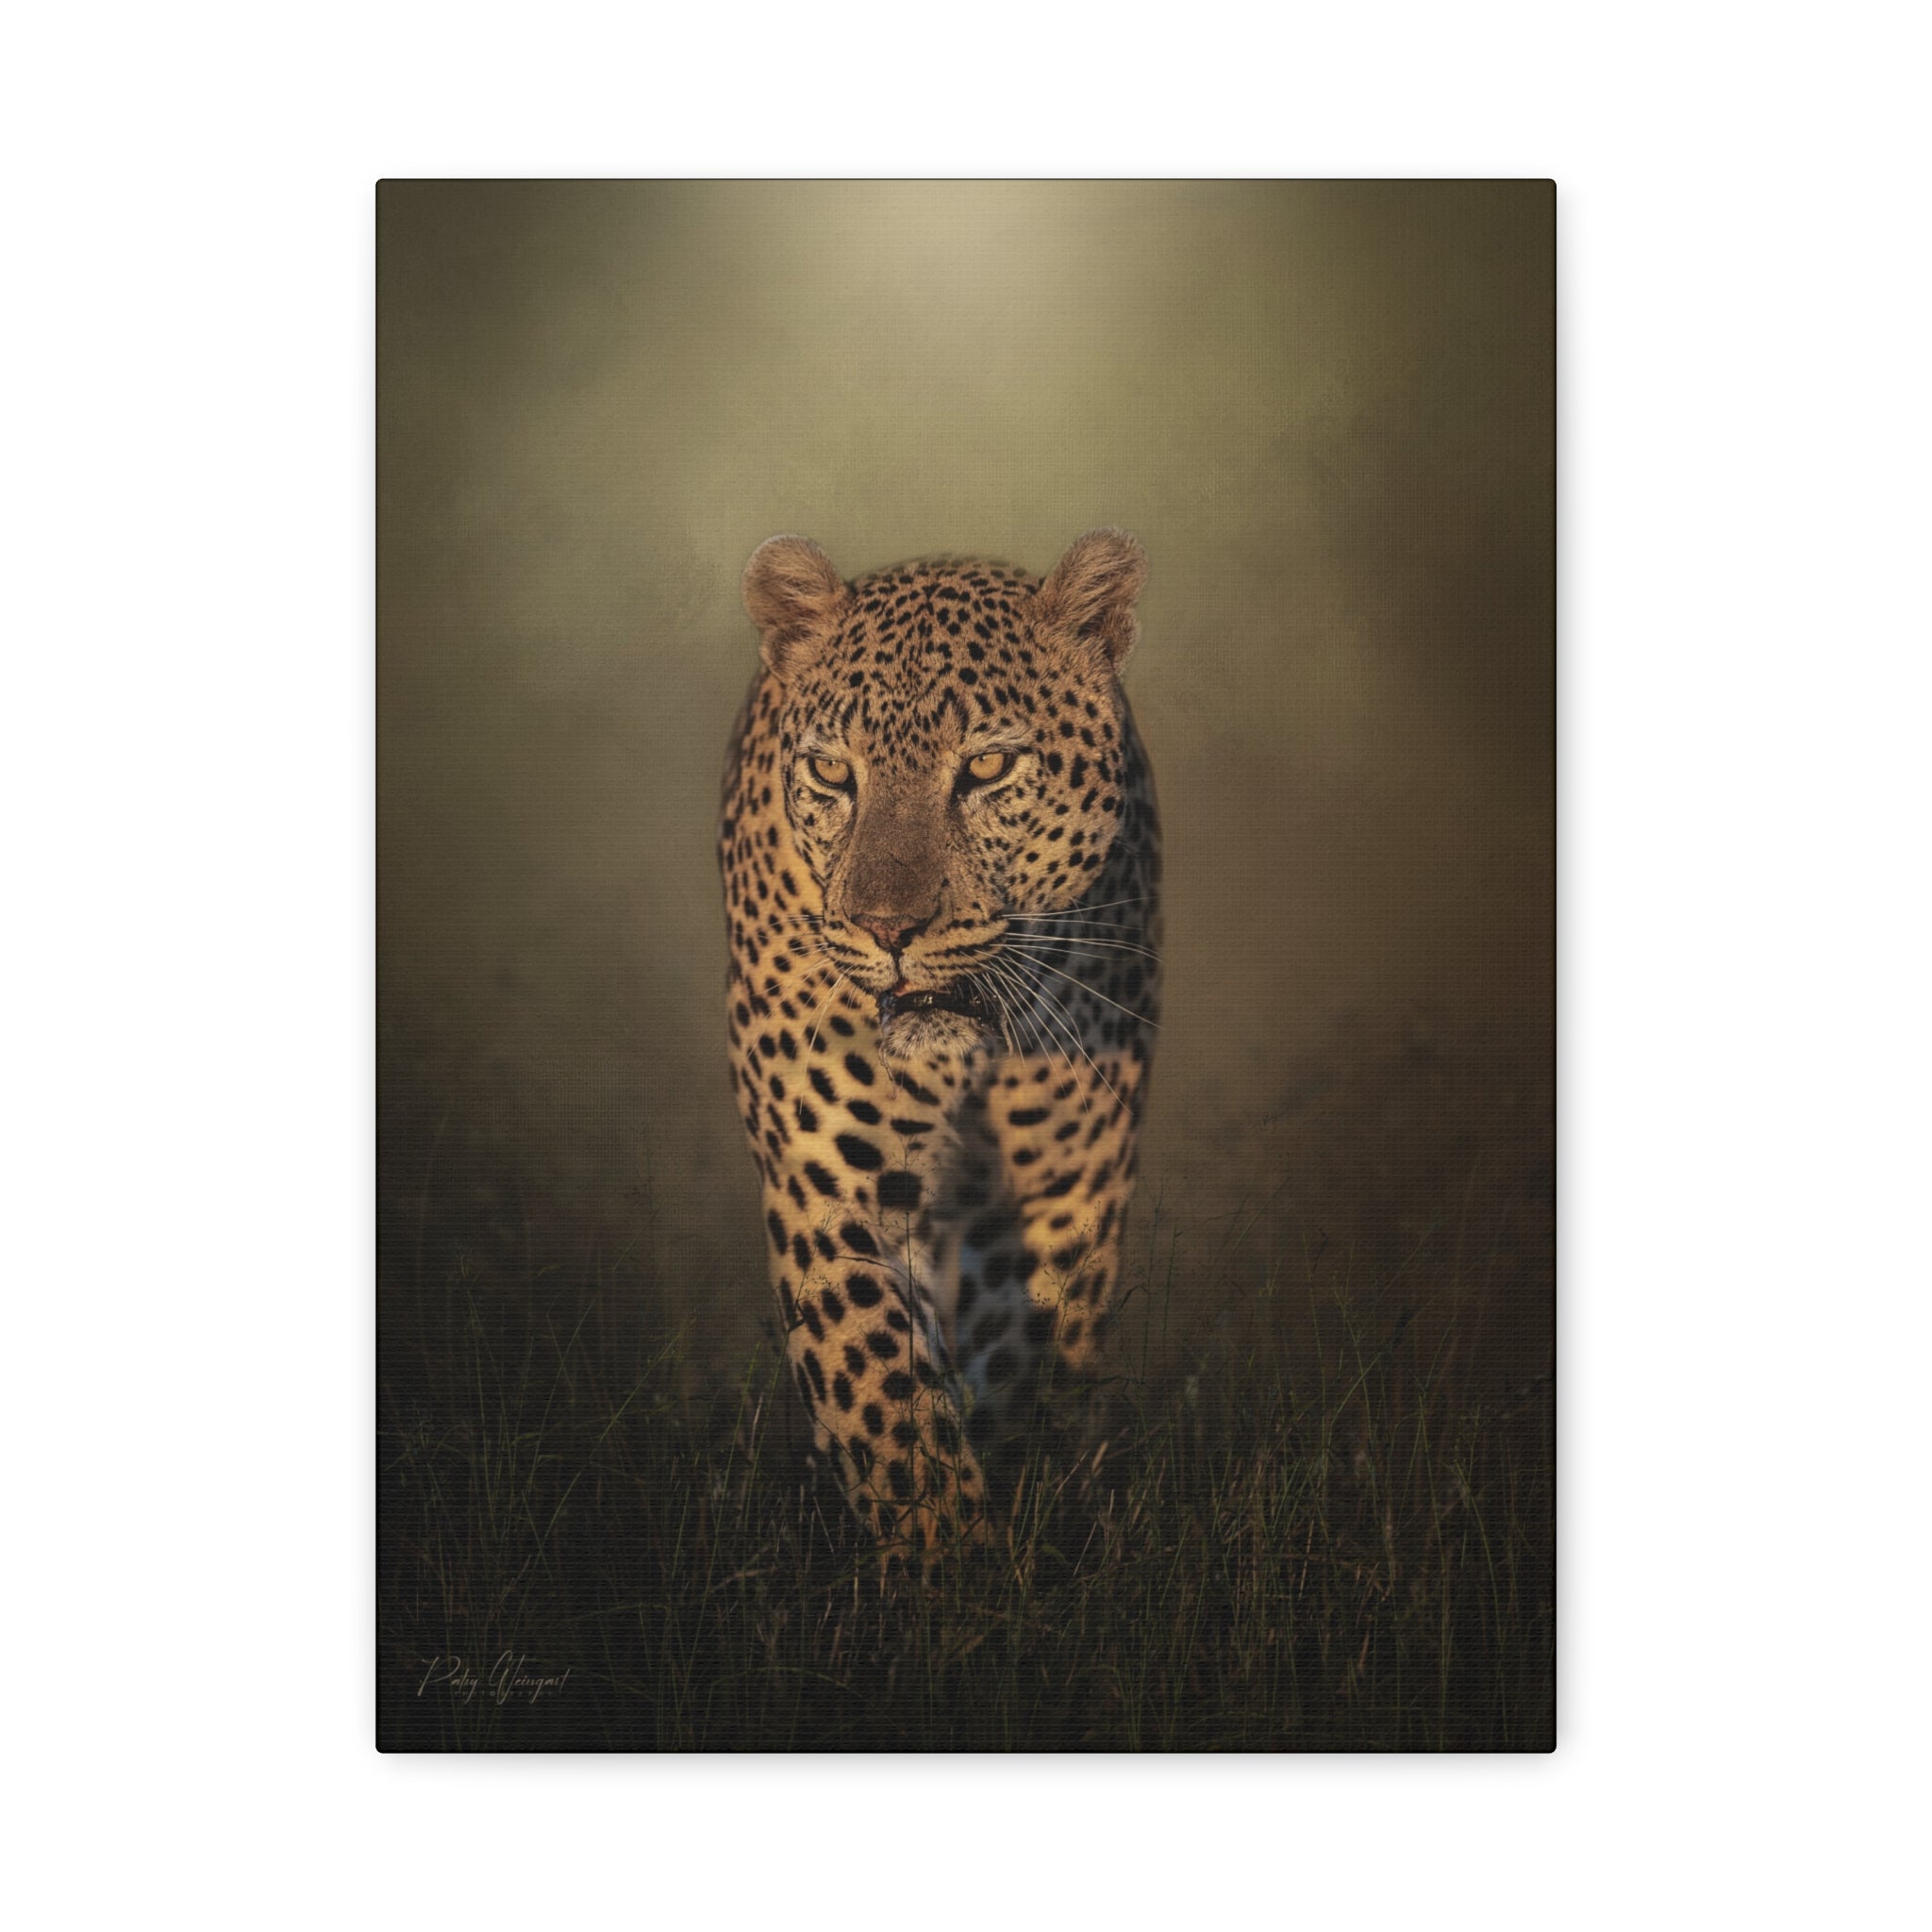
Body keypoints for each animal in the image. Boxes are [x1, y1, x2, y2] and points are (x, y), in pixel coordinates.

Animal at [719, 529, 1161, 1556]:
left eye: (988, 769)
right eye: (833, 775)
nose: (888, 929)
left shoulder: (1059, 1194)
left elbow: (1021, 1378)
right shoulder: (834, 1190)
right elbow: (887, 1403)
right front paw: (948, 1564)